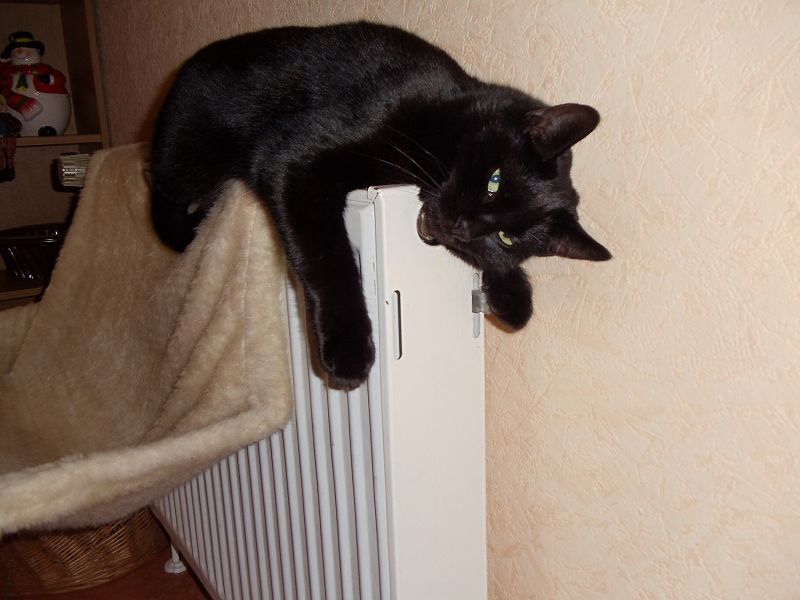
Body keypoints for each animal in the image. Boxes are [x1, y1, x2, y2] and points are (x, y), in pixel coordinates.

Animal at [149, 21, 611, 390]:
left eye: (506, 237)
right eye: (494, 181)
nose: (463, 224)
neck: (443, 118)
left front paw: (513, 296)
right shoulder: (291, 159)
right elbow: (327, 258)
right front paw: (349, 350)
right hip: (186, 158)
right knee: (159, 190)